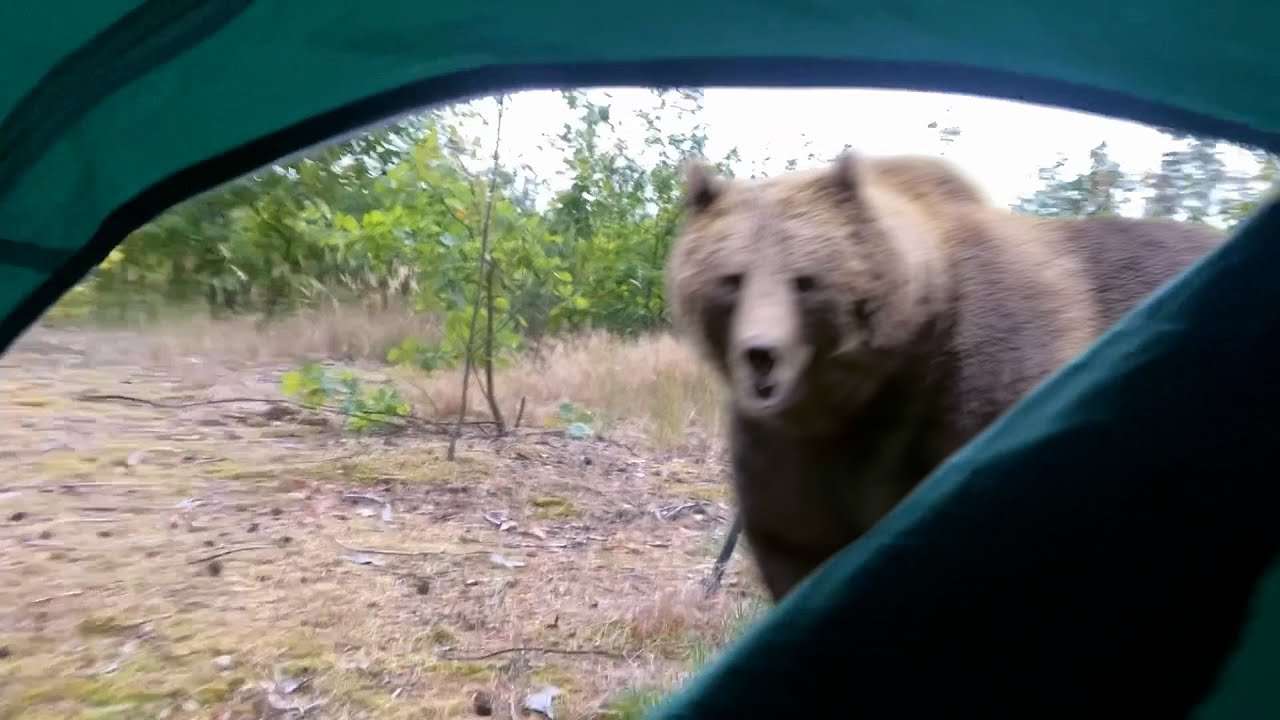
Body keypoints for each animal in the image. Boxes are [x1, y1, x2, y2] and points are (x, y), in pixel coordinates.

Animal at [666, 151, 1225, 601]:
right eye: (731, 279)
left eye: (805, 281)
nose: (761, 355)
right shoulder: (792, 449)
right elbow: (798, 540)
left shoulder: (988, 380)